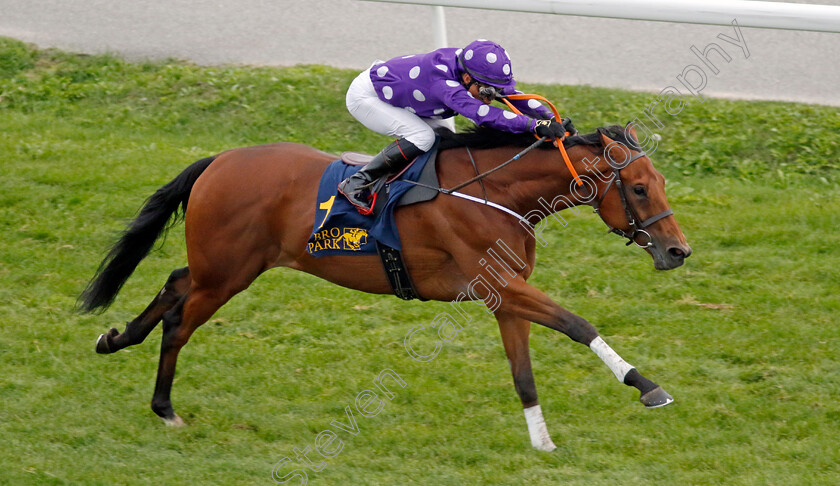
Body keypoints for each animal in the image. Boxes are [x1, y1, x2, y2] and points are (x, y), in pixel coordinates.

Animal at [82, 123, 692, 450]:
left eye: (660, 181)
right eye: (639, 188)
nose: (678, 251)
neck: (494, 191)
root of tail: (219, 161)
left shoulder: (504, 293)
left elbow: (523, 373)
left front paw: (541, 442)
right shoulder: (497, 283)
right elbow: (578, 324)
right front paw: (648, 386)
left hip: (222, 266)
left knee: (173, 285)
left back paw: (115, 339)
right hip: (227, 273)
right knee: (178, 322)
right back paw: (165, 408)